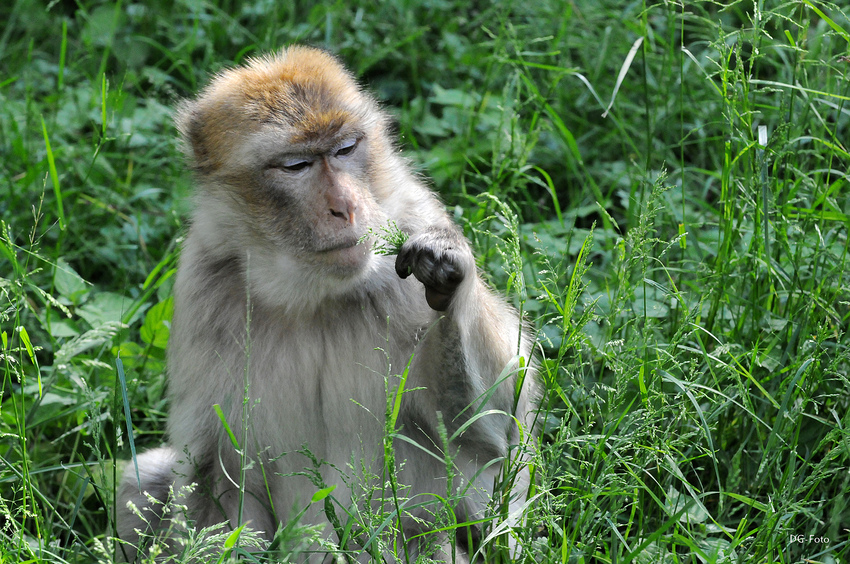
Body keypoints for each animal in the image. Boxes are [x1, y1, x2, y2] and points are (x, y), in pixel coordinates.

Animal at [116, 46, 532, 560]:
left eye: (345, 149)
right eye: (296, 165)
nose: (346, 206)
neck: (310, 297)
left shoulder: (410, 224)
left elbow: (490, 437)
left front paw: (450, 271)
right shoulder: (203, 288)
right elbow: (216, 475)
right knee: (143, 481)